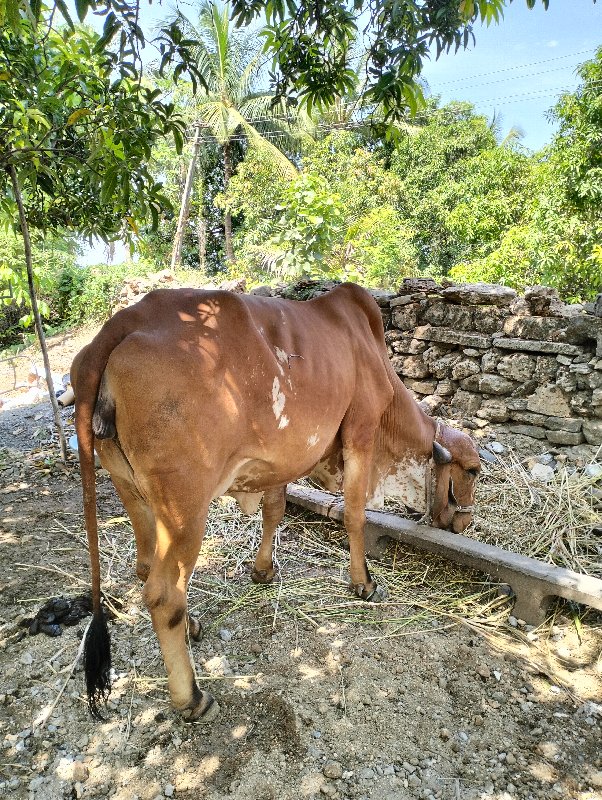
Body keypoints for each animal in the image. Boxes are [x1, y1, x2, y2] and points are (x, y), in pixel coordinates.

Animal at [72, 284, 478, 720]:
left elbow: (273, 512)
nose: (464, 523)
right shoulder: (361, 433)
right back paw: (192, 697)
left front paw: (263, 570)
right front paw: (364, 583)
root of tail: (120, 323)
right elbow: (354, 515)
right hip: (185, 508)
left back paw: (191, 625)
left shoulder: (281, 462)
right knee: (164, 594)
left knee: (146, 568)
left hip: (130, 490)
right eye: (473, 471)